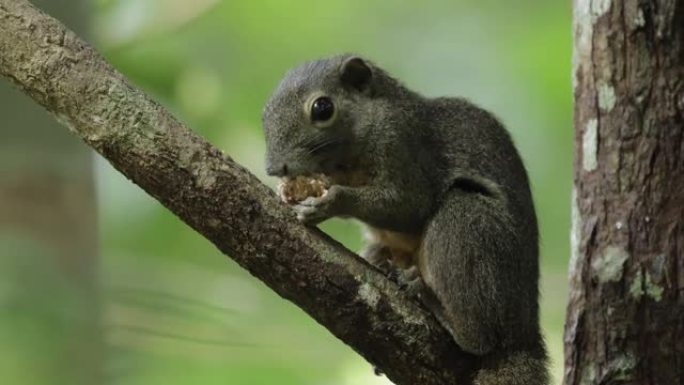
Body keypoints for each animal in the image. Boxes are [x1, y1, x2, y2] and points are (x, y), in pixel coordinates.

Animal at [262, 54, 552, 384]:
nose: (274, 168)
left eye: (322, 108)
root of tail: (524, 333)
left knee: (481, 338)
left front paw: (329, 202)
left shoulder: (403, 146)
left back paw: (431, 302)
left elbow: (410, 206)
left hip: (467, 223)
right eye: (265, 112)